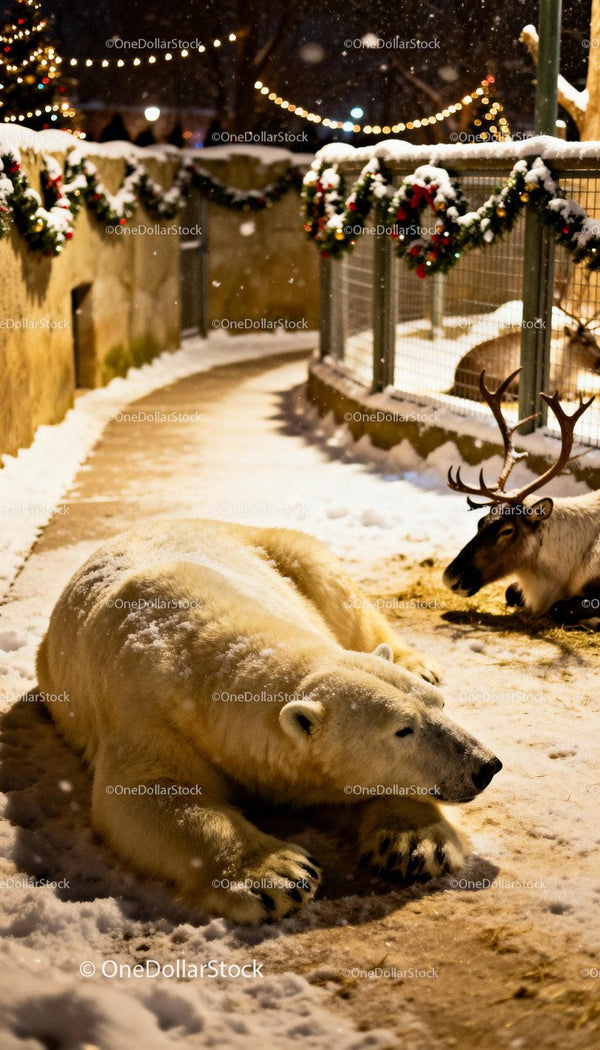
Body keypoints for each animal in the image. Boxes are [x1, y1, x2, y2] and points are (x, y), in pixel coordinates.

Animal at [37, 519, 502, 923]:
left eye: (440, 706)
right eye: (403, 730)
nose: (486, 767)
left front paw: (416, 843)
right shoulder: (147, 712)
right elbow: (144, 792)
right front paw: (277, 874)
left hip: (286, 551)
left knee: (340, 595)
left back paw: (416, 662)